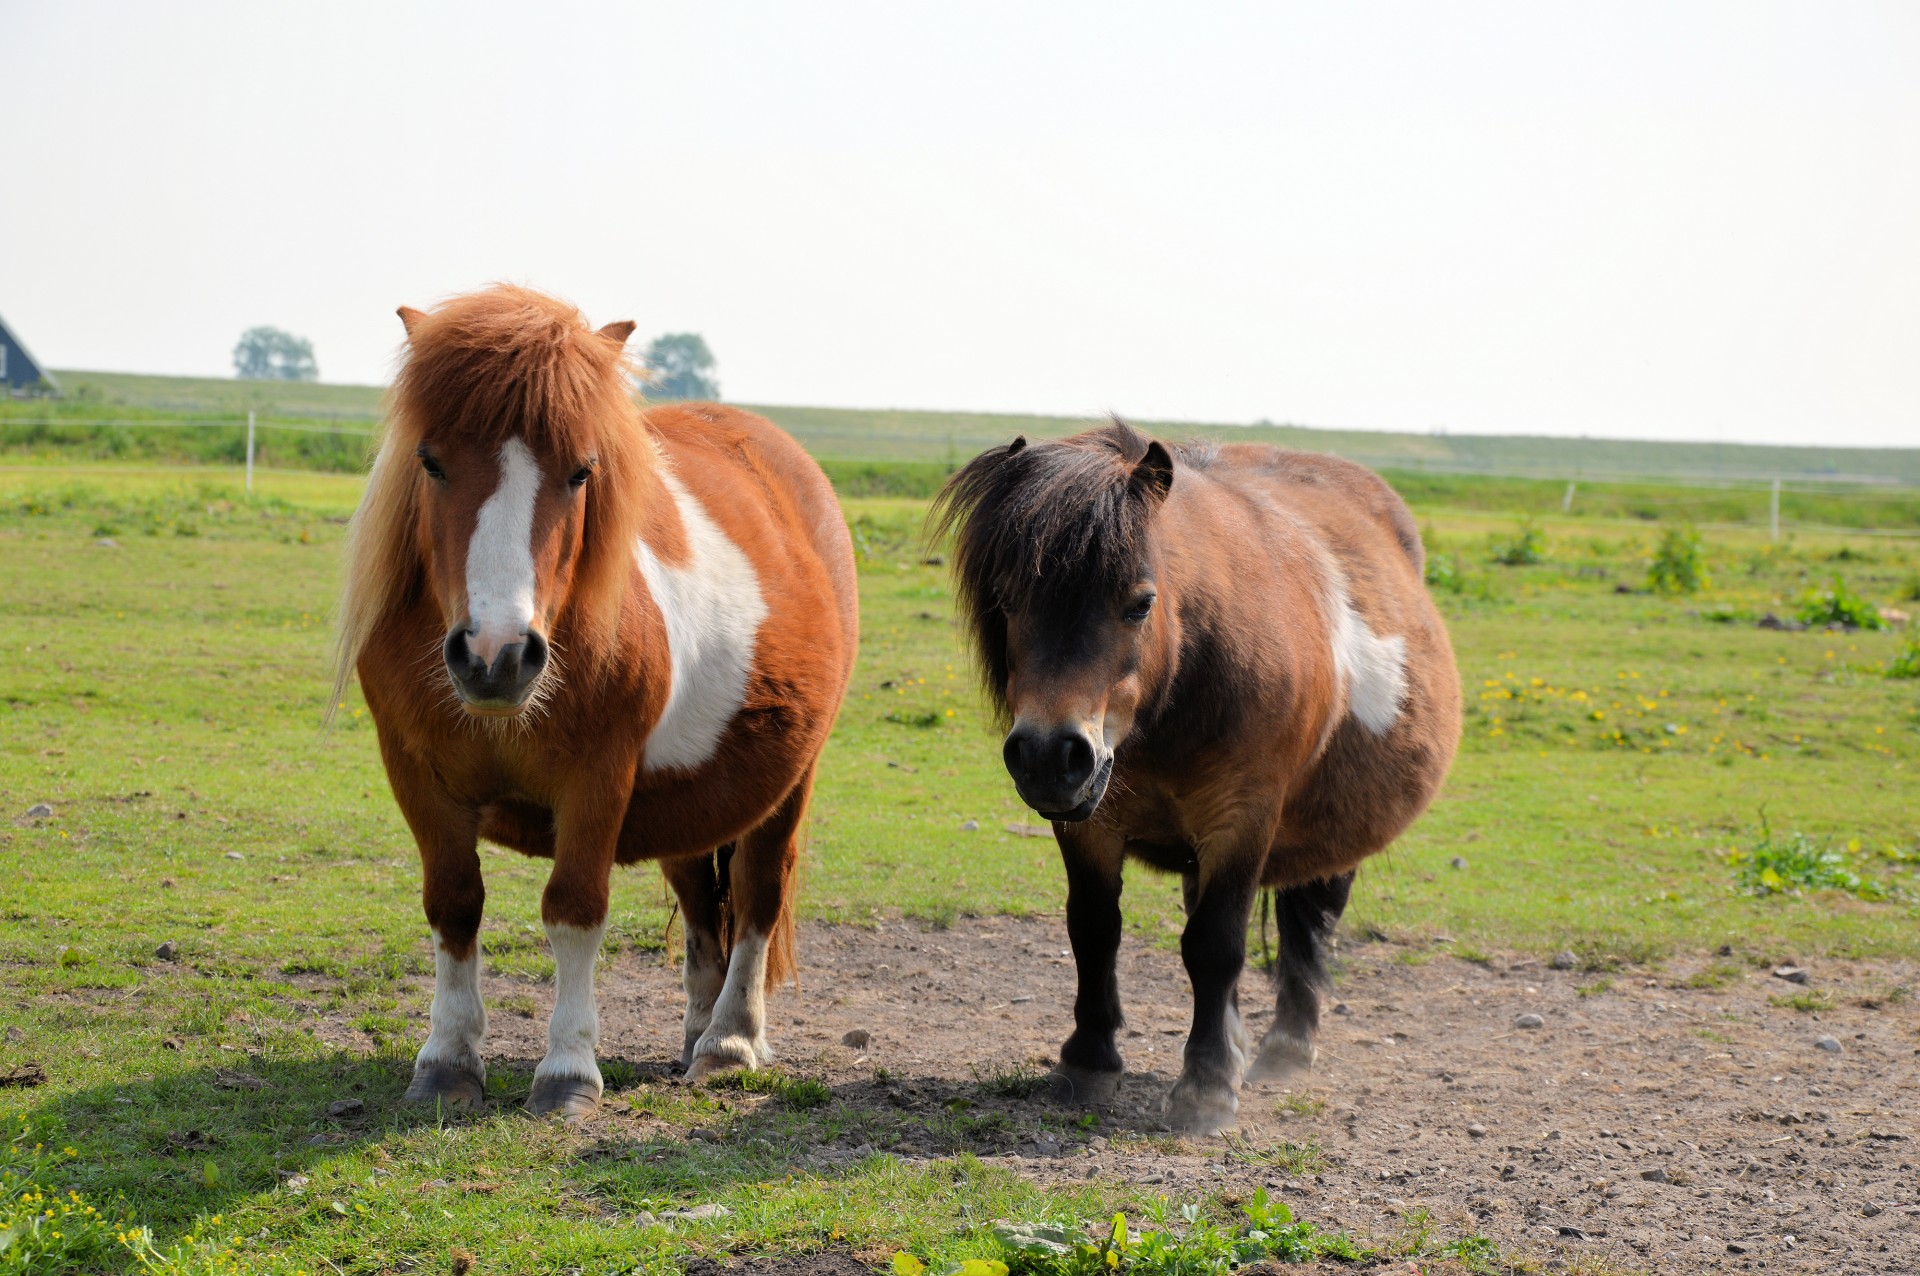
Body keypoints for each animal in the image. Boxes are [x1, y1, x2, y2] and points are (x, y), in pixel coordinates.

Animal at [337, 283, 856, 1112]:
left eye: (583, 471)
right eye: (430, 461)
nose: (496, 657)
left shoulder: (597, 780)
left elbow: (574, 909)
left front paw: (569, 1071)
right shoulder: (415, 773)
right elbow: (453, 902)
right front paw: (447, 1062)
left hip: (787, 785)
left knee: (756, 895)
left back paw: (729, 1041)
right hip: (691, 793)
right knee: (702, 902)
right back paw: (695, 1032)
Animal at [929, 418, 1451, 1135]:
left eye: (1140, 603)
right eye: (1007, 599)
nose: (1047, 755)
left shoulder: (1244, 819)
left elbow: (1215, 944)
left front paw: (1205, 1089)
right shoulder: (1089, 824)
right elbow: (1094, 930)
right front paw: (1088, 1062)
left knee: (1308, 924)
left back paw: (1285, 1050)